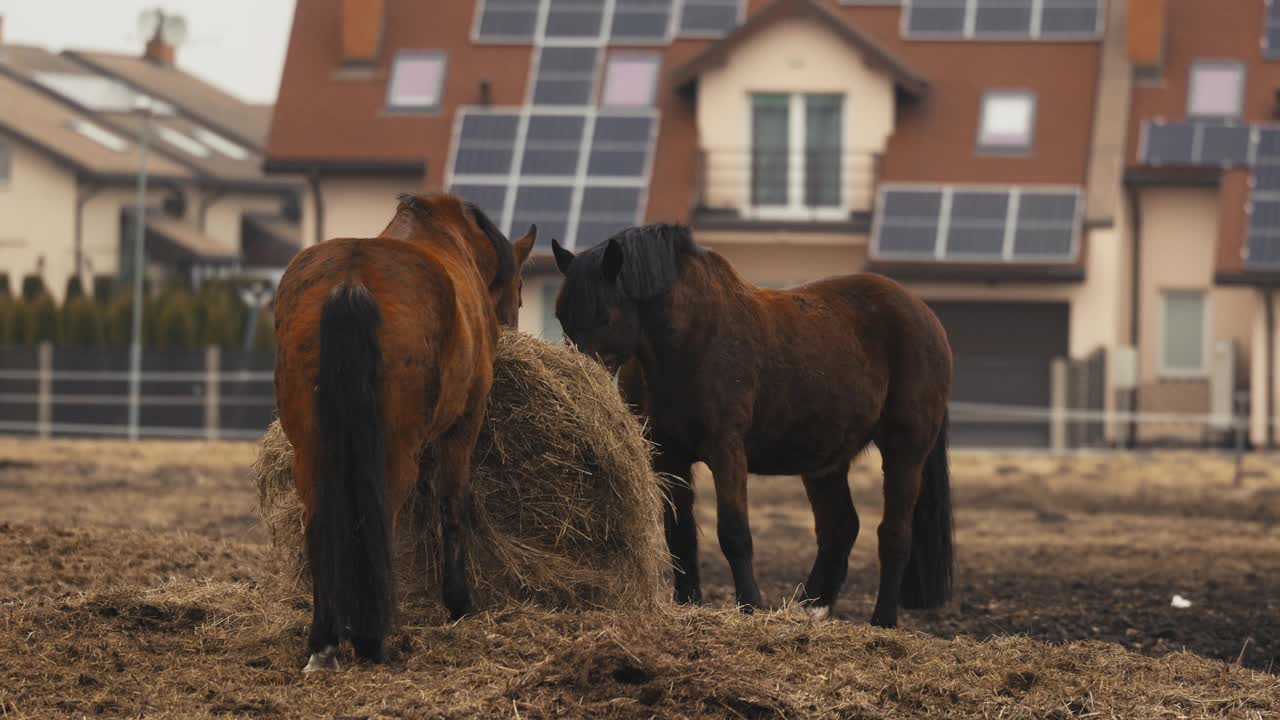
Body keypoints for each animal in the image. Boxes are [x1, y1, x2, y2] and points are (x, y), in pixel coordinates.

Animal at [275, 193, 535, 671]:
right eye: (521, 292)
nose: (508, 326)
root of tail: (351, 283)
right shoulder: (463, 424)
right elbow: (451, 504)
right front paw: (459, 602)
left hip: (311, 450)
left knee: (319, 525)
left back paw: (325, 642)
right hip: (393, 451)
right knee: (379, 518)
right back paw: (370, 639)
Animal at [555, 224, 957, 622]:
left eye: (604, 314)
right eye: (560, 316)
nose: (577, 378)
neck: (690, 340)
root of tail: (925, 315)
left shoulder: (726, 449)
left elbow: (734, 532)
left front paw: (749, 604)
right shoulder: (668, 457)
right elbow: (679, 533)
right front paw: (688, 602)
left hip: (905, 451)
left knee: (894, 534)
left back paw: (882, 619)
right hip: (826, 461)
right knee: (840, 528)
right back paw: (810, 608)